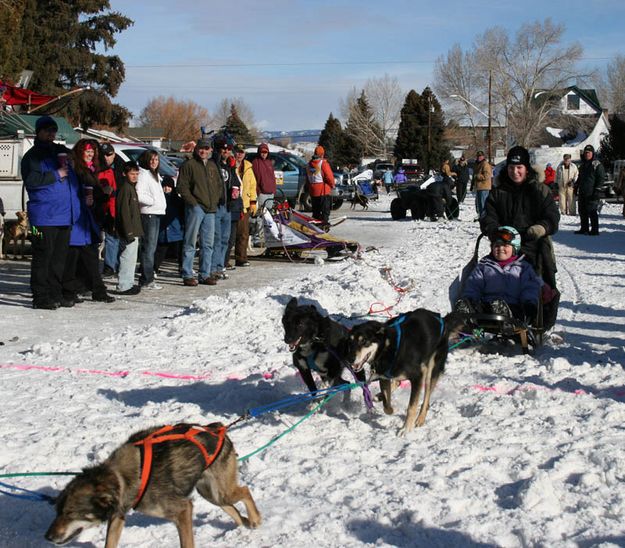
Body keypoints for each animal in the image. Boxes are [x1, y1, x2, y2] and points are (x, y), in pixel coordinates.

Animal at [45, 424, 260, 548]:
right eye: (57, 511)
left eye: (70, 513)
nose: (47, 537)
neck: (122, 477)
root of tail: (216, 428)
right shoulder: (118, 515)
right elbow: (110, 542)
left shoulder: (183, 509)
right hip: (210, 493)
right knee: (233, 509)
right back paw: (244, 524)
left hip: (221, 492)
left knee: (245, 491)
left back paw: (255, 519)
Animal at [346, 308, 464, 436]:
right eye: (350, 342)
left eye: (364, 341)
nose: (350, 358)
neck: (388, 347)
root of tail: (442, 319)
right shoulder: (384, 377)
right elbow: (386, 405)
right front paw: (389, 407)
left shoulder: (417, 377)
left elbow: (411, 407)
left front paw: (406, 428)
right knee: (397, 382)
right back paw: (379, 396)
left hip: (432, 370)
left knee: (426, 399)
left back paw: (420, 419)